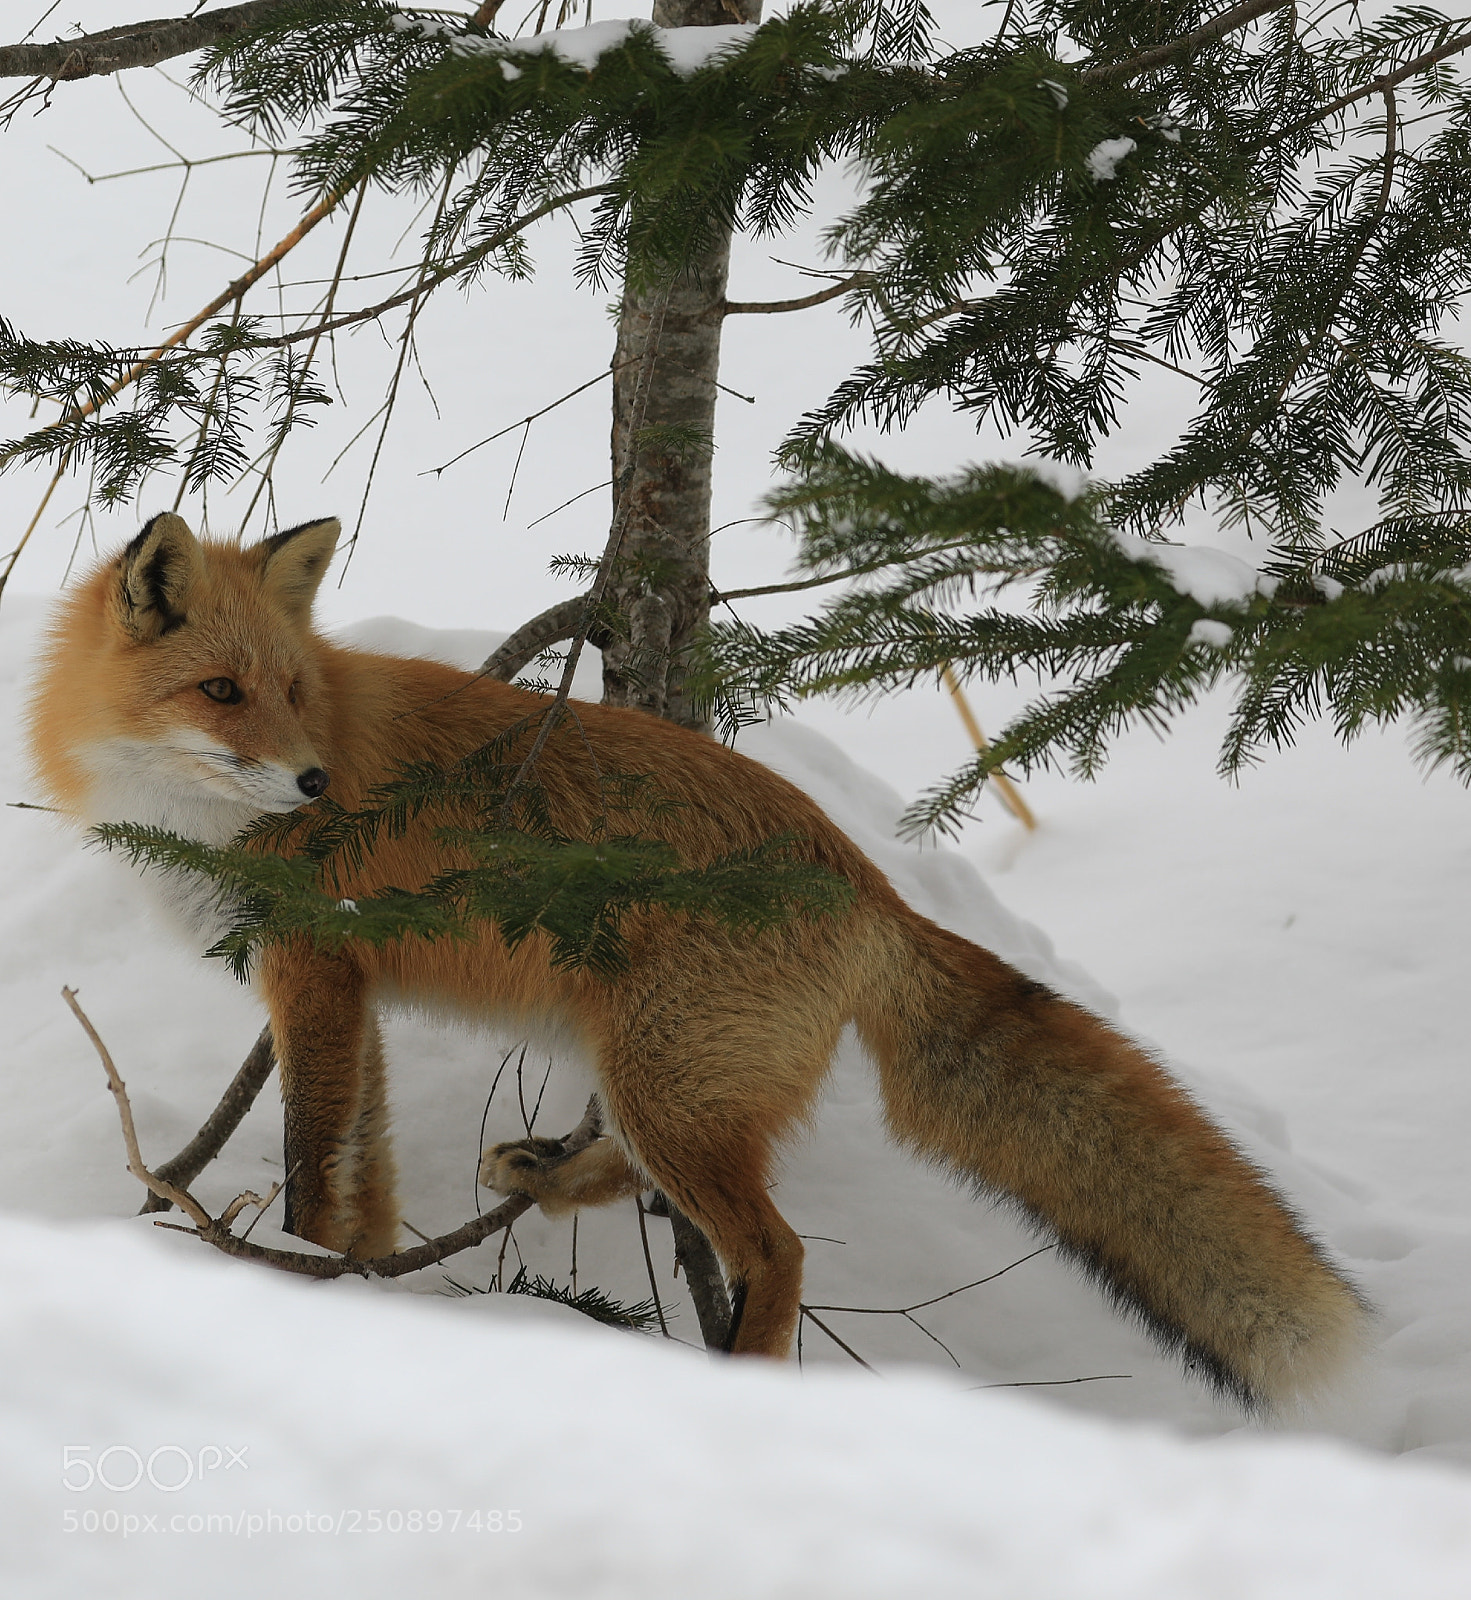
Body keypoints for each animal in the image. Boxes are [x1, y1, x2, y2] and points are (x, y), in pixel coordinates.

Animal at [27, 509, 1368, 1409]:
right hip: (656, 1071)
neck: (184, 818)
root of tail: (859, 873)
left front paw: (295, 1267)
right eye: (222, 690)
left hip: (666, 1077)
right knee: (657, 1169)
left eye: (295, 691)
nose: (314, 783)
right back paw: (545, 1172)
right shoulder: (347, 985)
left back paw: (748, 1380)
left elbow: (312, 1163)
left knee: (776, 1247)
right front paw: (359, 1276)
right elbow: (366, 1167)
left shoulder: (309, 967)